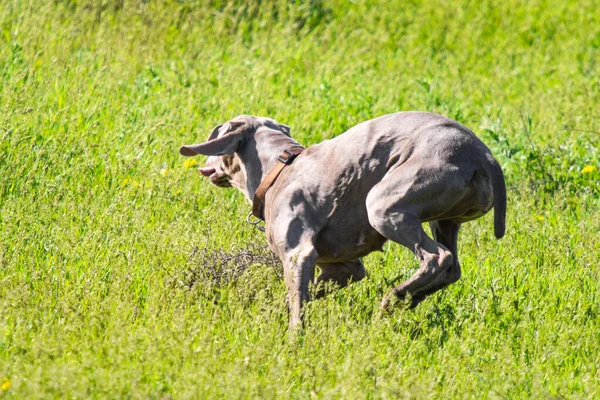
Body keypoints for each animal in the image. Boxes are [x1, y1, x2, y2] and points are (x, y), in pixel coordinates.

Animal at [179, 111, 506, 328]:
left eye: (216, 133)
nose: (205, 163)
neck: (279, 168)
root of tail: (484, 155)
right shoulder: (345, 268)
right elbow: (308, 294)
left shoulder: (298, 254)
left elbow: (297, 305)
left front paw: (293, 345)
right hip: (446, 219)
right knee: (452, 268)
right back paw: (408, 300)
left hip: (384, 202)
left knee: (438, 257)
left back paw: (392, 299)